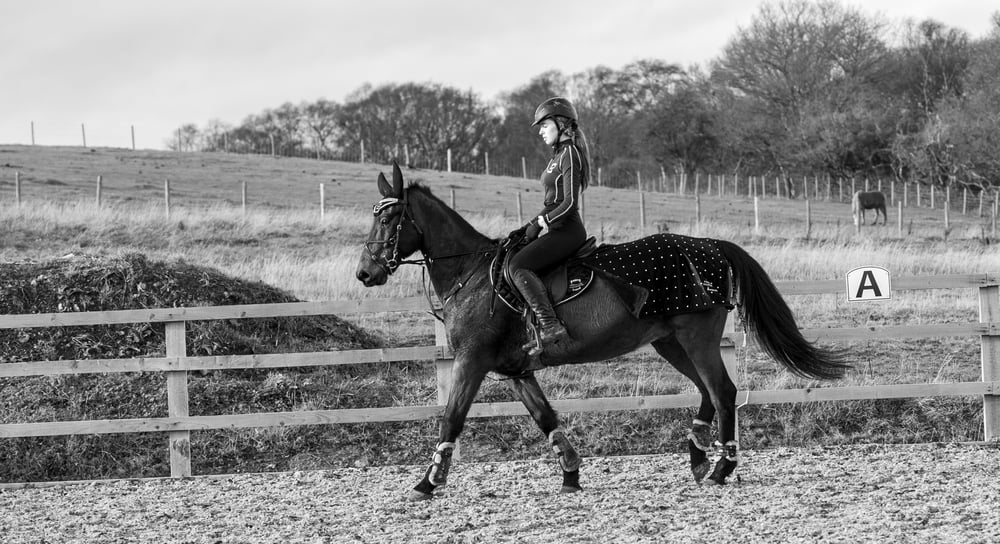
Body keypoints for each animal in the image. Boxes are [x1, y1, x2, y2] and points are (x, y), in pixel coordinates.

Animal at [356, 163, 848, 502]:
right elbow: (546, 419)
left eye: (389, 220)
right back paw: (697, 457)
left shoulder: (471, 362)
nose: (365, 273)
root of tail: (710, 246)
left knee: (723, 391)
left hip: (695, 338)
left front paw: (427, 481)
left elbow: (451, 418)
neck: (471, 275)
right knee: (708, 391)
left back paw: (721, 469)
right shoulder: (516, 370)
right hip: (670, 343)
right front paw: (571, 473)